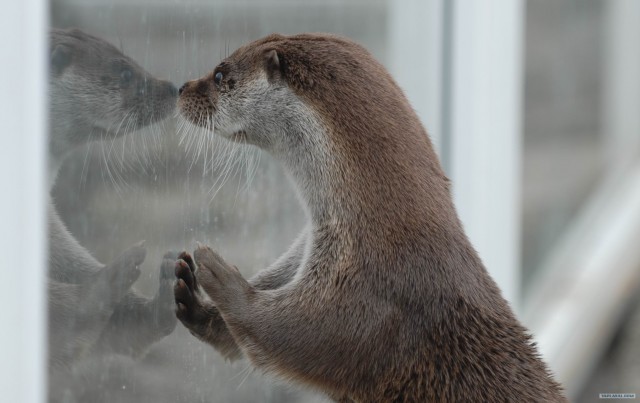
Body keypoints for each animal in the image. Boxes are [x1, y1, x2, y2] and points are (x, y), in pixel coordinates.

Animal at [174, 33, 564, 402]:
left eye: (219, 74)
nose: (182, 88)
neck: (378, 228)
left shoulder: (369, 292)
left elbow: (293, 334)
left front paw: (219, 274)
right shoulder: (308, 253)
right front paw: (191, 298)